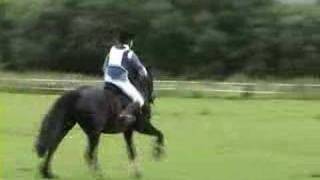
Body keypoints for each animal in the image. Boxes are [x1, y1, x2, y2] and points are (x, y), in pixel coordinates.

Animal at [34, 67, 164, 179]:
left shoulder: (128, 131)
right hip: (94, 133)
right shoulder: (142, 127)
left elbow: (131, 152)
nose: (154, 97)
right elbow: (159, 134)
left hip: (67, 127)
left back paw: (47, 173)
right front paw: (158, 153)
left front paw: (137, 174)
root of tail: (76, 93)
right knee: (89, 155)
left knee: (53, 146)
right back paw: (99, 175)